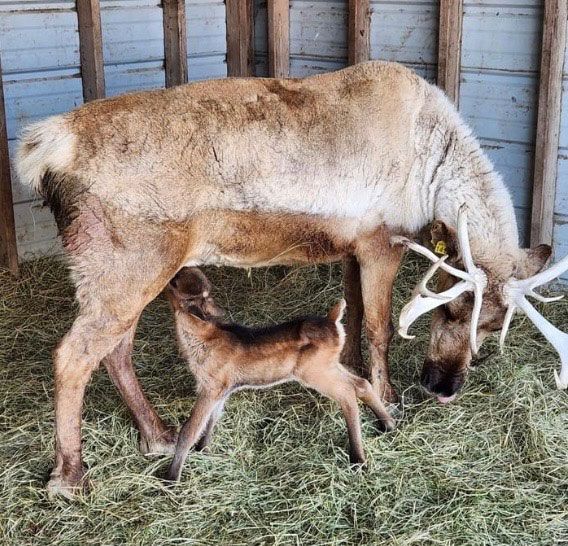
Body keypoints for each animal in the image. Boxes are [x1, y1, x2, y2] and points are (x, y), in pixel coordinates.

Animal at [164, 268, 394, 480]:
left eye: (176, 282)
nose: (173, 271)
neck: (201, 339)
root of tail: (333, 321)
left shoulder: (211, 385)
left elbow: (189, 429)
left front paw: (172, 478)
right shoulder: (224, 386)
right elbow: (212, 418)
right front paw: (203, 448)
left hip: (315, 372)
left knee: (347, 394)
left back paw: (358, 458)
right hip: (329, 365)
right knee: (361, 383)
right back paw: (387, 424)